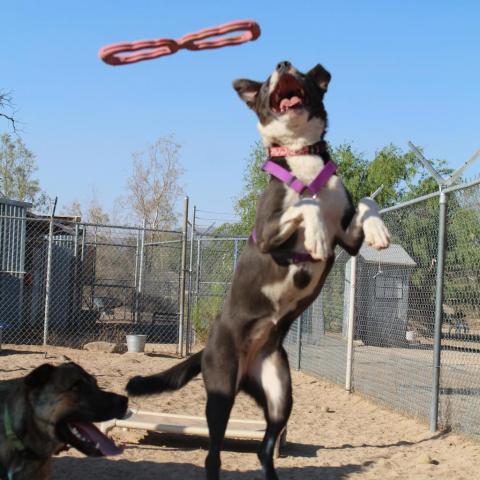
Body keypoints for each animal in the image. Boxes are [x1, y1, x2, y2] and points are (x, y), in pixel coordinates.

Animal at [127, 61, 390, 480]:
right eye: (268, 81)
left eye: (300, 70)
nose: (282, 63)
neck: (301, 157)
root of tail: (208, 348)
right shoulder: (268, 233)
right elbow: (305, 206)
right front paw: (315, 232)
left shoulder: (347, 240)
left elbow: (365, 202)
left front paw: (378, 230)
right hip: (221, 392)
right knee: (213, 455)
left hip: (280, 393)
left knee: (265, 449)